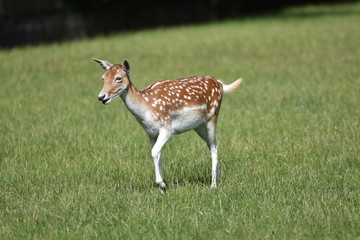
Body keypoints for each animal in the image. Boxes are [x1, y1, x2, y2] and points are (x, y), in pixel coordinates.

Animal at [93, 57, 245, 190]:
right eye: (103, 78)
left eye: (118, 78)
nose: (101, 97)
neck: (146, 108)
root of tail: (220, 84)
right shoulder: (150, 133)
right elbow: (158, 154)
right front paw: (162, 189)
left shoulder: (166, 128)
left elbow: (154, 152)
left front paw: (161, 183)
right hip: (199, 126)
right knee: (211, 145)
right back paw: (218, 176)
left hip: (212, 116)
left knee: (214, 146)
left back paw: (213, 185)